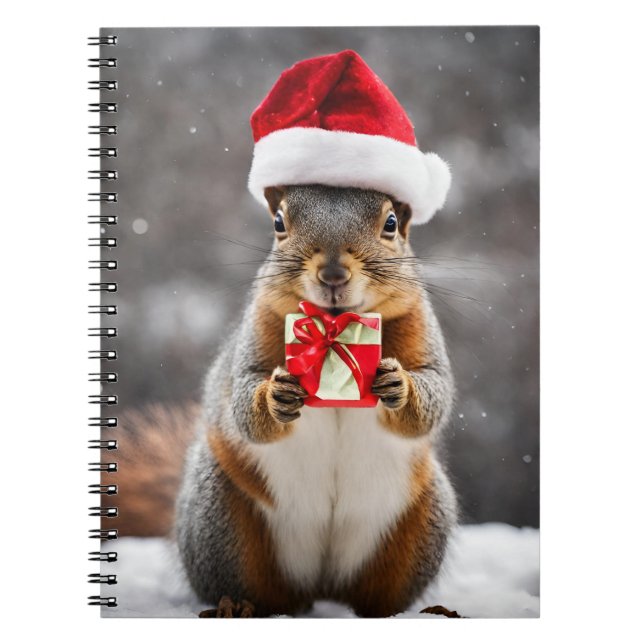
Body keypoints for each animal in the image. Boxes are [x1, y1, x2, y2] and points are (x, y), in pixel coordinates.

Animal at [169, 183, 458, 617]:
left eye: (391, 224)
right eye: (278, 223)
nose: (334, 274)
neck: (334, 323)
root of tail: (321, 584)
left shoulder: (422, 328)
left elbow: (435, 390)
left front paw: (400, 385)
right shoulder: (255, 333)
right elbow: (243, 397)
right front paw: (274, 397)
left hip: (420, 524)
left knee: (377, 595)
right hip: (221, 522)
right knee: (250, 586)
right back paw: (237, 606)